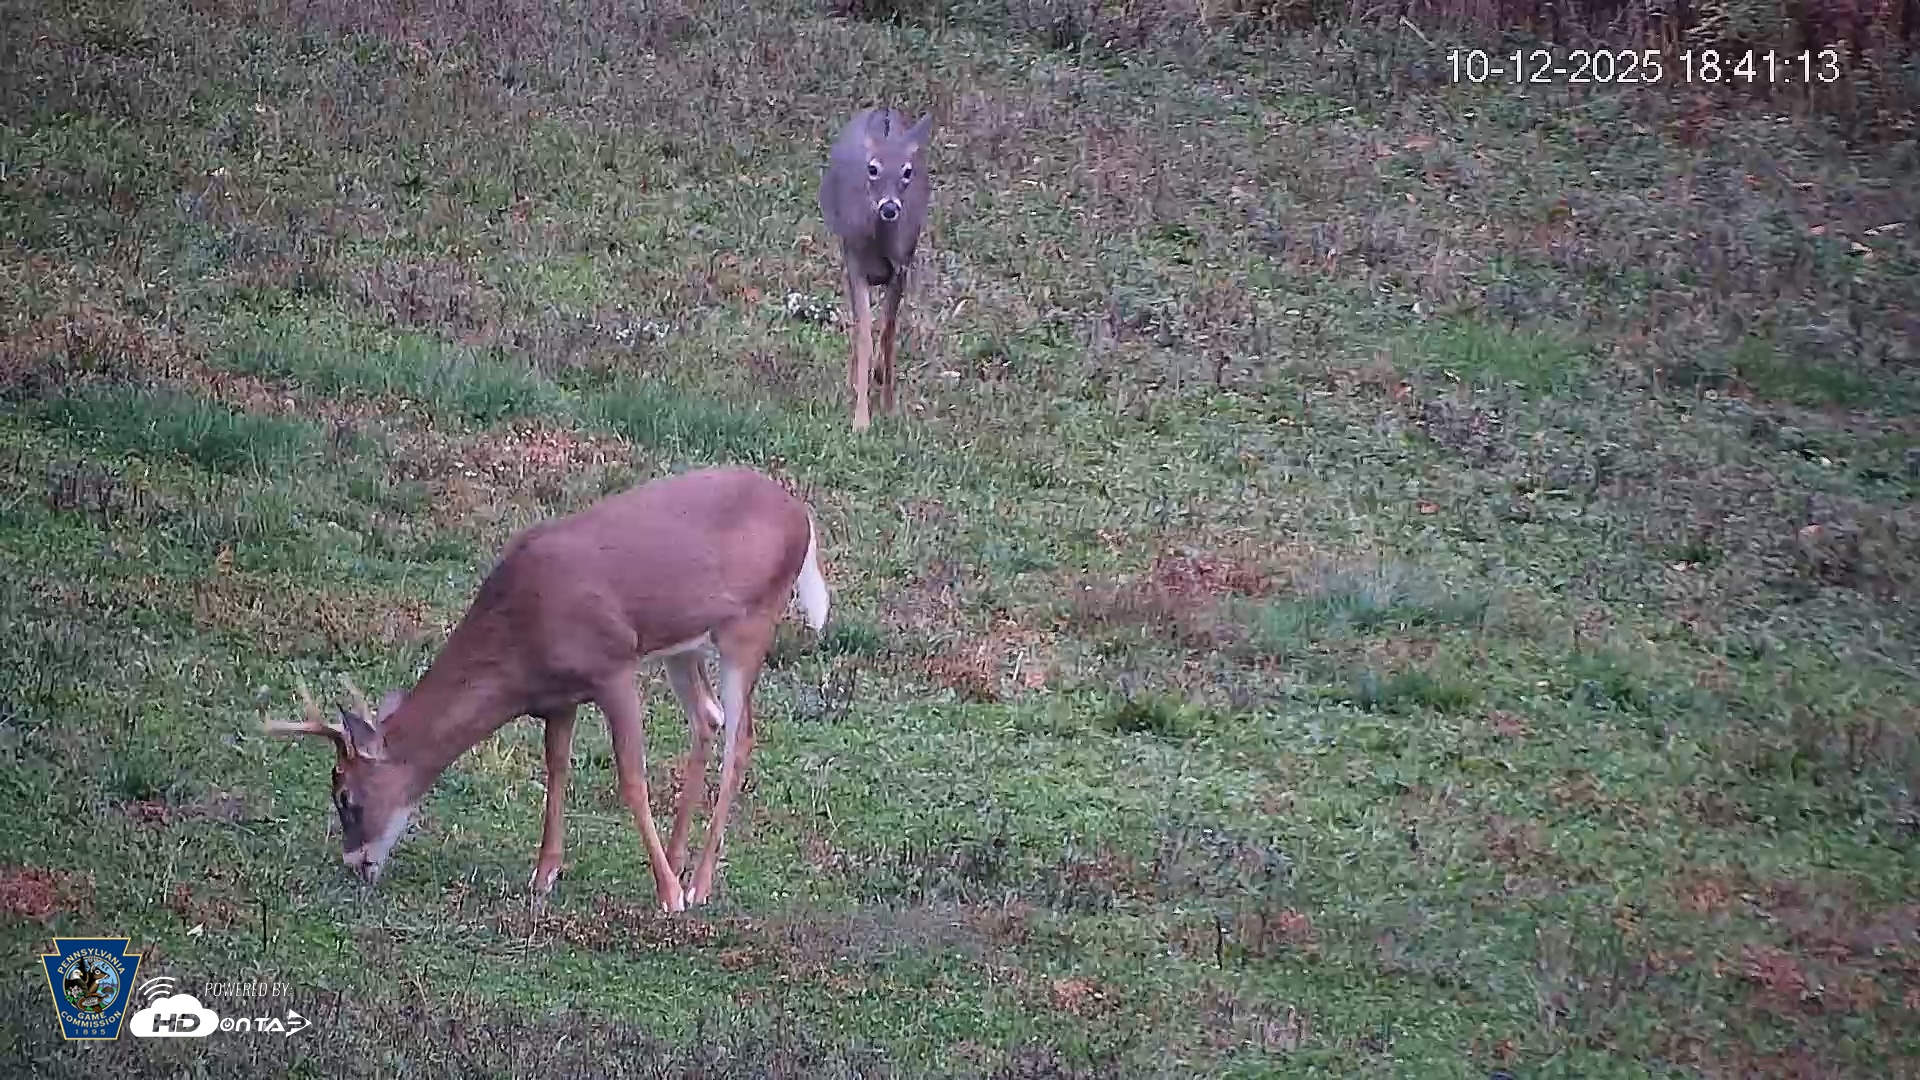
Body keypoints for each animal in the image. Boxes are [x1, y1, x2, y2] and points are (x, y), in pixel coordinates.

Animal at [261, 466, 831, 913]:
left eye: (345, 796)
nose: (354, 863)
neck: (522, 634)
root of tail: (801, 514)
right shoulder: (559, 698)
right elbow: (556, 769)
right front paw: (543, 876)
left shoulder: (612, 666)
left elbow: (631, 778)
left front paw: (667, 895)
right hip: (682, 647)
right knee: (708, 718)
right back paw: (678, 859)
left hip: (751, 624)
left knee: (741, 738)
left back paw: (697, 885)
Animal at [818, 106, 934, 433]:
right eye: (872, 169)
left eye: (907, 171)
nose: (889, 208)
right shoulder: (855, 264)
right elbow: (865, 334)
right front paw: (861, 420)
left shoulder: (902, 266)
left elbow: (888, 334)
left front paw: (890, 407)